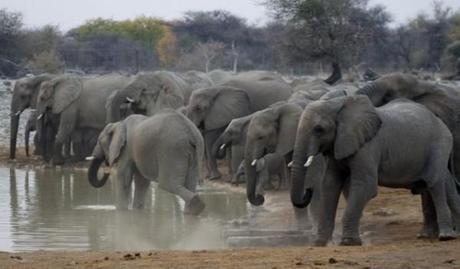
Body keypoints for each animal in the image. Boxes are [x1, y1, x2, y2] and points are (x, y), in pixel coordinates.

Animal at [292, 95, 460, 246]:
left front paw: (349, 242)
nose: (308, 189)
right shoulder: (337, 146)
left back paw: (446, 236)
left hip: (439, 145)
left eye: (318, 129)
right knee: (434, 184)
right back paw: (431, 235)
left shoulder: (367, 146)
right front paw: (320, 243)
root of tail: (442, 123)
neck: (339, 104)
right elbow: (329, 185)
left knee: (434, 183)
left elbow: (365, 186)